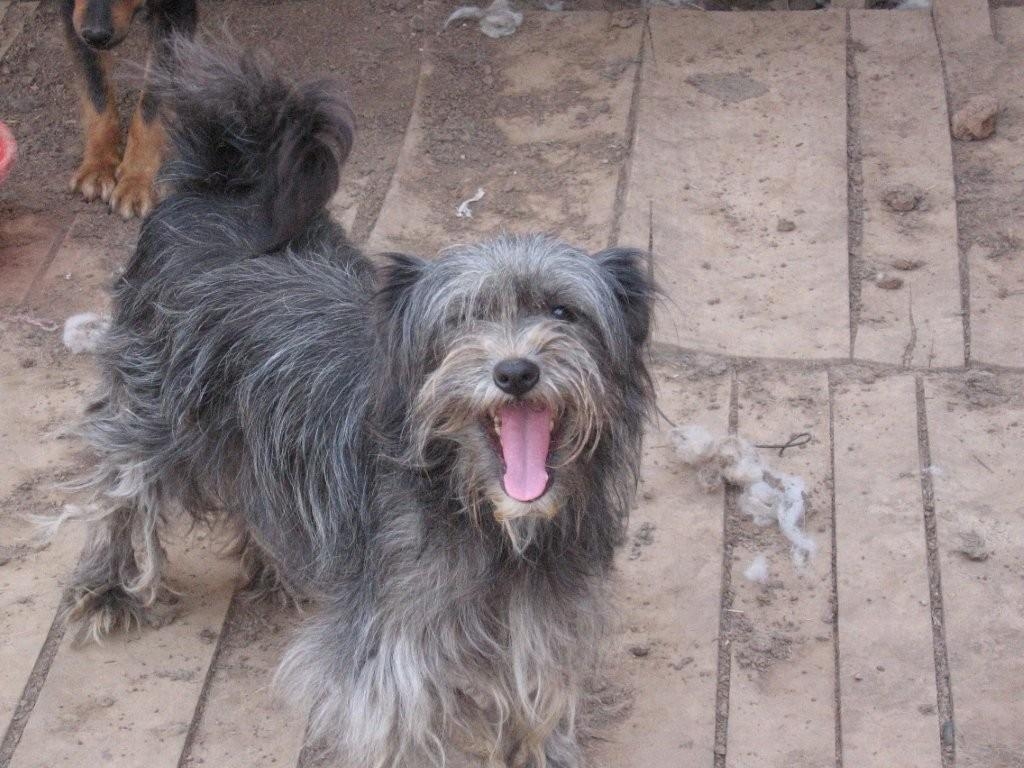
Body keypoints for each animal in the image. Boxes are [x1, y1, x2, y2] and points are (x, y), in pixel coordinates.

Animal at [62, 0, 197, 218]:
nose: (95, 35)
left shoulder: (174, 12)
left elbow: (151, 108)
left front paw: (137, 180)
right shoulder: (73, 15)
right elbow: (95, 89)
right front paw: (98, 165)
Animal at [62, 38, 655, 767]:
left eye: (564, 313)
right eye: (462, 321)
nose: (516, 371)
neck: (481, 516)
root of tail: (217, 188)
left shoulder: (545, 620)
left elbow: (540, 698)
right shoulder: (392, 651)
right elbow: (397, 721)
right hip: (148, 408)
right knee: (121, 486)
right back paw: (109, 587)